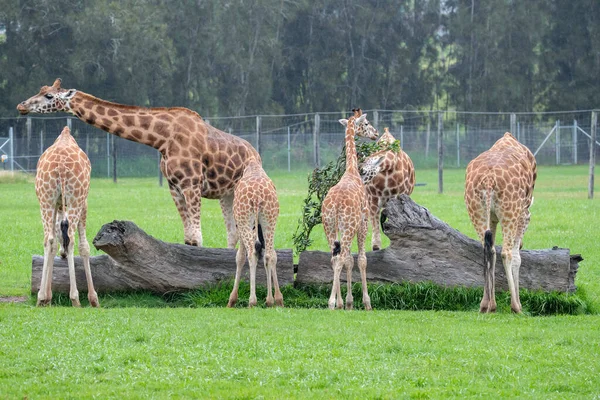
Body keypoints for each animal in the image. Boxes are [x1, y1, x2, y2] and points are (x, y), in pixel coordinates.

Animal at [15, 78, 260, 247]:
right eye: (40, 90)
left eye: (48, 96)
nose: (21, 106)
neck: (163, 138)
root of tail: (256, 154)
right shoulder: (174, 187)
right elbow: (189, 237)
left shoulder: (191, 185)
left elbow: (196, 238)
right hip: (227, 194)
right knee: (234, 234)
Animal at [35, 126, 98, 308]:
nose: (62, 255)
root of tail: (61, 167)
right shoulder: (84, 202)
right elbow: (84, 246)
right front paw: (93, 298)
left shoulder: (57, 203)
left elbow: (55, 240)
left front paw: (48, 297)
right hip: (76, 198)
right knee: (71, 238)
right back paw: (75, 298)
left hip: (45, 199)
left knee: (48, 239)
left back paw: (41, 297)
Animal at [227, 158, 284, 308]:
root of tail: (257, 197)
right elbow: (269, 255)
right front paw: (275, 299)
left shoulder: (240, 225)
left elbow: (240, 257)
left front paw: (232, 299)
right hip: (270, 220)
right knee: (269, 255)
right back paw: (273, 300)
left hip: (245, 221)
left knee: (252, 254)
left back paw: (252, 301)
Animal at [322, 108, 378, 310]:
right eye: (367, 123)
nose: (376, 134)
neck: (352, 170)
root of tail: (336, 205)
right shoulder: (363, 222)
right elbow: (361, 260)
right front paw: (365, 303)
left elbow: (349, 260)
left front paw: (346, 302)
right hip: (348, 226)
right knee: (340, 258)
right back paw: (331, 303)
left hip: (329, 226)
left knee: (334, 258)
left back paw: (336, 303)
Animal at [466, 133, 536, 314]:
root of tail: (489, 180)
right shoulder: (524, 214)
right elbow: (517, 257)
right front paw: (518, 304)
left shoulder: (492, 218)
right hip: (510, 211)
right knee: (506, 253)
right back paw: (515, 306)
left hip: (476, 210)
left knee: (487, 249)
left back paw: (487, 305)